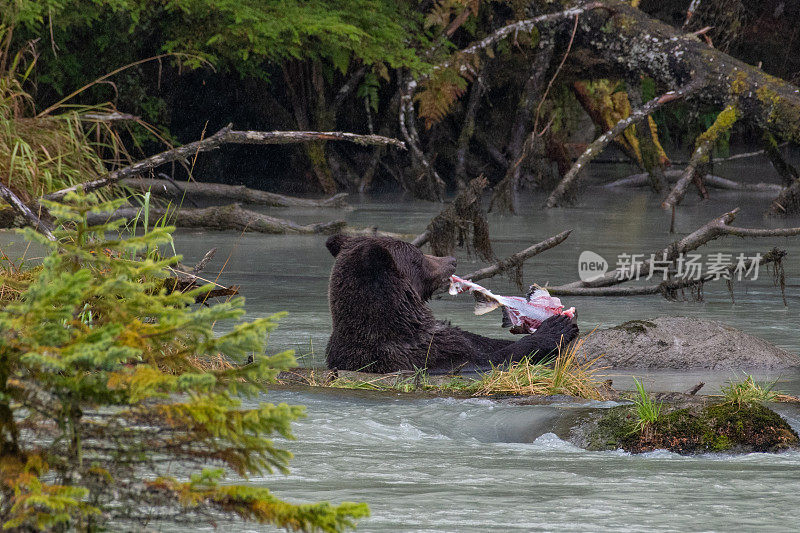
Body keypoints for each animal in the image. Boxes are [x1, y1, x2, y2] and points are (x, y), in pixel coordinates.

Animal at [324, 235, 580, 372]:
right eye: (418, 255)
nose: (451, 259)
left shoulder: (453, 338)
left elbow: (482, 343)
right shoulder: (425, 354)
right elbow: (490, 360)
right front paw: (556, 327)